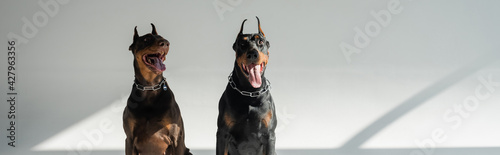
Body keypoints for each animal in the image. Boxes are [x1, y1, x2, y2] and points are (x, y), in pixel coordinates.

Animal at [216, 16, 278, 154]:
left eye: (260, 41)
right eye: (242, 44)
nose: (252, 54)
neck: (250, 93)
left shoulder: (269, 135)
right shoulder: (222, 134)